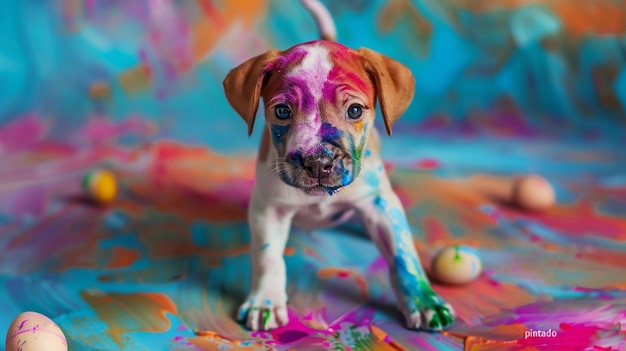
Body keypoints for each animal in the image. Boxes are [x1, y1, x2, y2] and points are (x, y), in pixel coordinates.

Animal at [221, 1, 454, 334]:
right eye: (282, 111)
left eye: (354, 110)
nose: (319, 163)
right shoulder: (268, 209)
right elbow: (268, 256)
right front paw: (264, 301)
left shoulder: (380, 203)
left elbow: (402, 255)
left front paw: (424, 302)